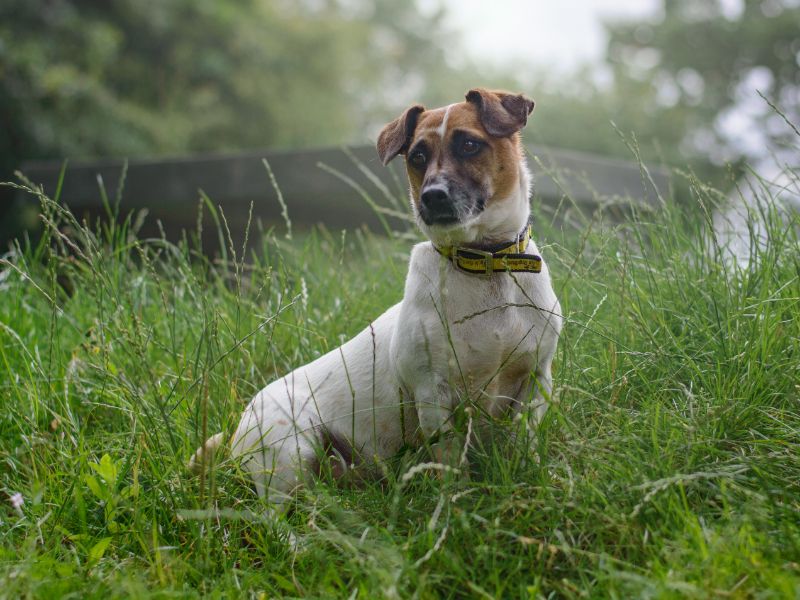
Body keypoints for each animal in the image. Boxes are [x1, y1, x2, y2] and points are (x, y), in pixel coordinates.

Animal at [189, 88, 564, 502]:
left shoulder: (535, 381)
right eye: (417, 157)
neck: (484, 264)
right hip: (289, 457)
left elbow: (524, 443)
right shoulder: (433, 394)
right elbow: (451, 461)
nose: (432, 196)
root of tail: (236, 430)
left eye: (469, 144)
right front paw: (455, 503)